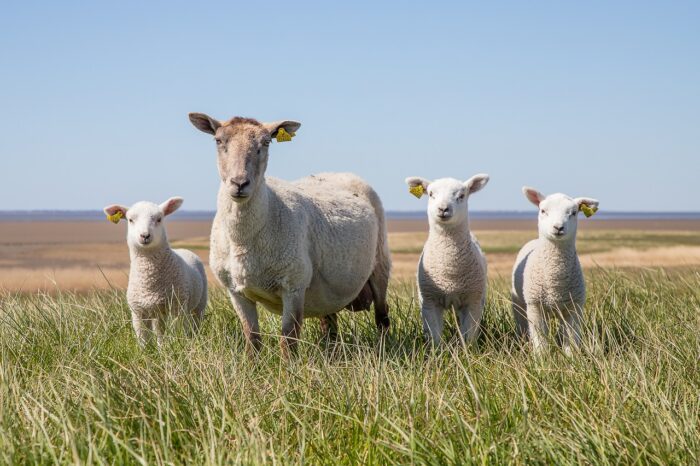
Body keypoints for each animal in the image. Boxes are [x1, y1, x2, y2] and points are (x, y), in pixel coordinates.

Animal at [103, 197, 208, 346]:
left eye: (159, 219)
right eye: (130, 220)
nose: (145, 235)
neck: (150, 282)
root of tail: (183, 249)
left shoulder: (177, 307)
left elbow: (177, 332)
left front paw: (177, 345)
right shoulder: (138, 312)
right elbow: (143, 339)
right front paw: (147, 351)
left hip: (199, 304)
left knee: (195, 323)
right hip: (158, 312)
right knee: (160, 330)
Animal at [402, 175, 490, 346]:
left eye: (461, 196)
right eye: (431, 194)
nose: (443, 209)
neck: (449, 270)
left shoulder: (473, 301)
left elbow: (468, 336)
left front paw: (468, 351)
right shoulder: (429, 301)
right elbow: (434, 337)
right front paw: (437, 352)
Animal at [508, 186, 600, 354]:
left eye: (574, 212)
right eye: (543, 210)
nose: (558, 227)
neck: (555, 280)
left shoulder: (574, 308)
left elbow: (571, 339)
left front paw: (571, 358)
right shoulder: (535, 307)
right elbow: (540, 341)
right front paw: (541, 358)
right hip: (519, 303)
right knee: (522, 325)